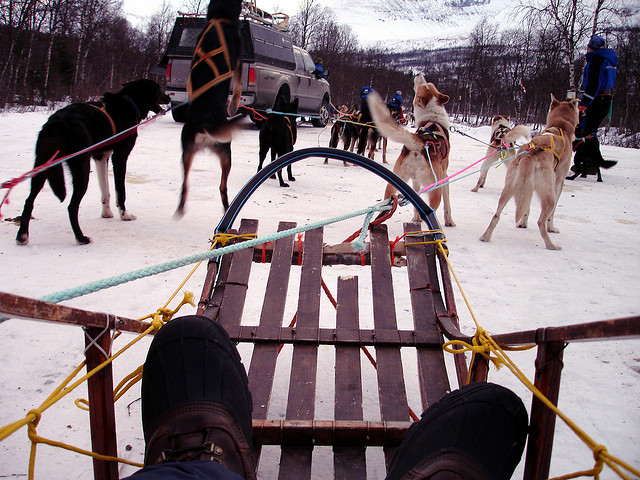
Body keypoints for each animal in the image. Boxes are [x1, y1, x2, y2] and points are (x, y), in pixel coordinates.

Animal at [17, 79, 171, 244]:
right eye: (158, 89)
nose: (169, 97)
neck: (129, 102)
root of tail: (56, 124)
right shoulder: (120, 157)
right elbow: (120, 191)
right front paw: (124, 215)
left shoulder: (101, 157)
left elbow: (106, 191)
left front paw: (106, 213)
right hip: (82, 169)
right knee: (72, 206)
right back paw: (81, 237)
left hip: (41, 168)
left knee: (29, 201)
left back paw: (22, 235)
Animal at [174, 0, 244, 216]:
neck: (220, 15)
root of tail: (204, 124)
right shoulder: (239, 59)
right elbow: (238, 87)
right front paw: (233, 106)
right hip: (226, 151)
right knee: (222, 186)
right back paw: (227, 207)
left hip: (188, 152)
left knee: (185, 185)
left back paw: (181, 207)